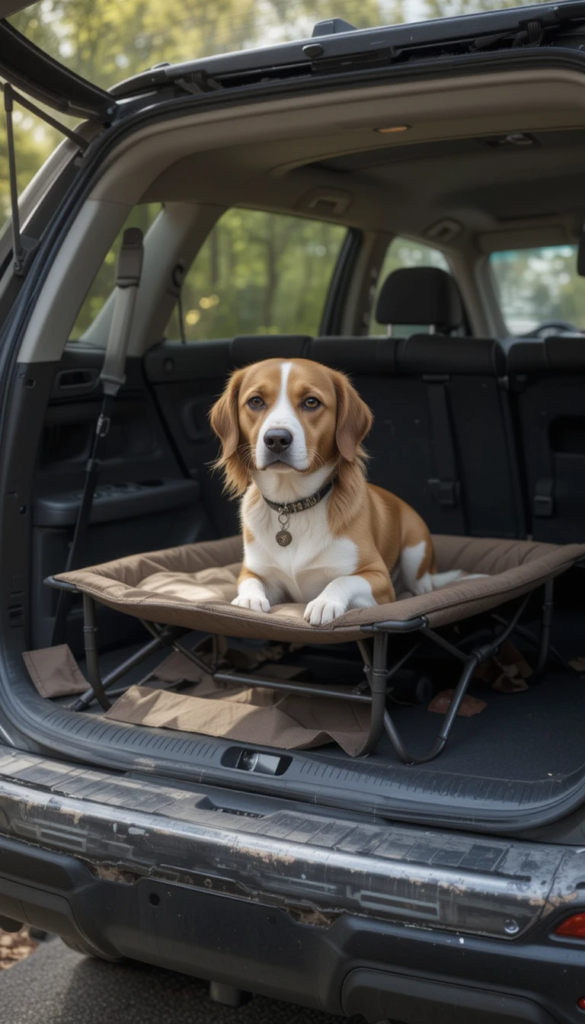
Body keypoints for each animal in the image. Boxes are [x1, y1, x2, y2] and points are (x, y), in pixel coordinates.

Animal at [211, 364, 471, 626]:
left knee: (420, 583)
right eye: (255, 401)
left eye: (311, 402)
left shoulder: (379, 579)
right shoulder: (257, 572)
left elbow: (342, 579)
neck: (293, 505)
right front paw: (248, 599)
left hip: (414, 552)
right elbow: (249, 582)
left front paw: (325, 602)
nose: (276, 439)